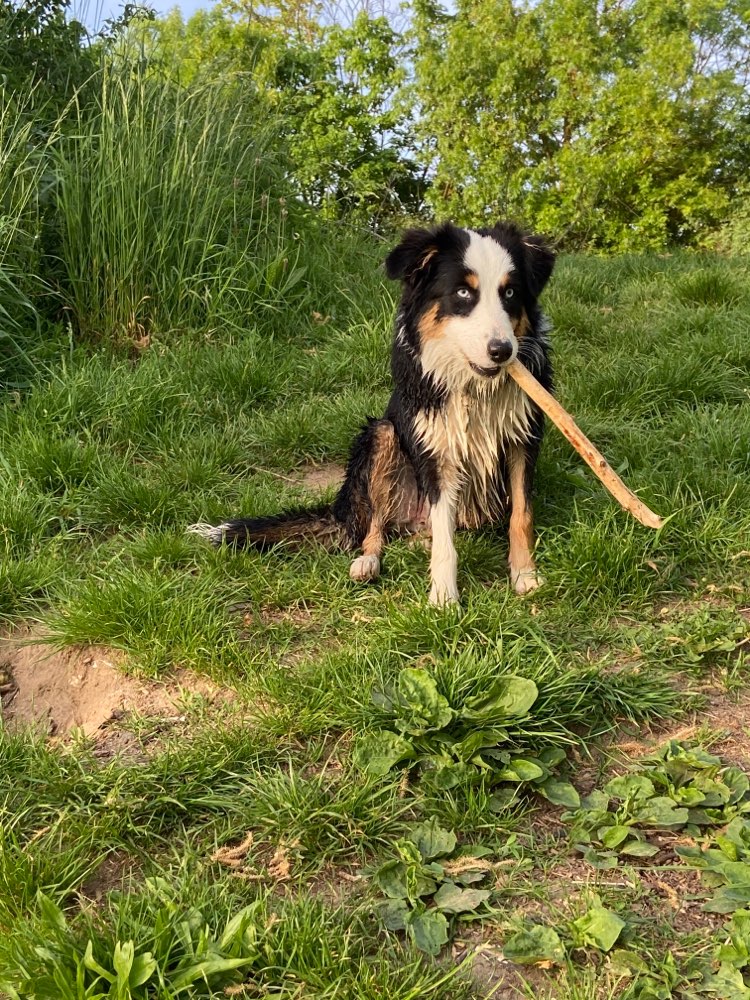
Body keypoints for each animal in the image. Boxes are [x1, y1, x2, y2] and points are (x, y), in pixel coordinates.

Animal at [192, 222, 560, 604]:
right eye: (462, 292)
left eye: (510, 293)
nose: (502, 351)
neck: (475, 389)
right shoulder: (436, 451)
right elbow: (444, 537)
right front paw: (444, 599)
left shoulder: (523, 439)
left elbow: (521, 514)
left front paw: (525, 575)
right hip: (380, 435)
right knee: (376, 524)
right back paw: (367, 561)